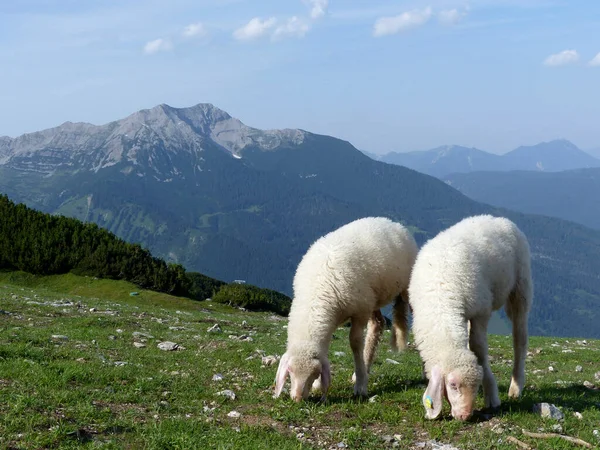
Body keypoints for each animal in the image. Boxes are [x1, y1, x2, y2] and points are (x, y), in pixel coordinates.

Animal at [274, 216, 418, 402]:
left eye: (315, 372)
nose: (297, 398)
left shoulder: (359, 312)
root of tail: (392, 222)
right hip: (371, 299)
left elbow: (355, 343)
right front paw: (320, 385)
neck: (316, 296)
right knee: (377, 324)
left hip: (404, 290)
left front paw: (361, 387)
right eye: (290, 371)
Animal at [410, 214, 532, 422]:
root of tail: (498, 218)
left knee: (520, 338)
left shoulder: (481, 311)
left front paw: (492, 396)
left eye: (475, 385)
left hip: (520, 288)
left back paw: (516, 387)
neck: (441, 304)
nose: (465, 415)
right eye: (452, 385)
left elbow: (479, 349)